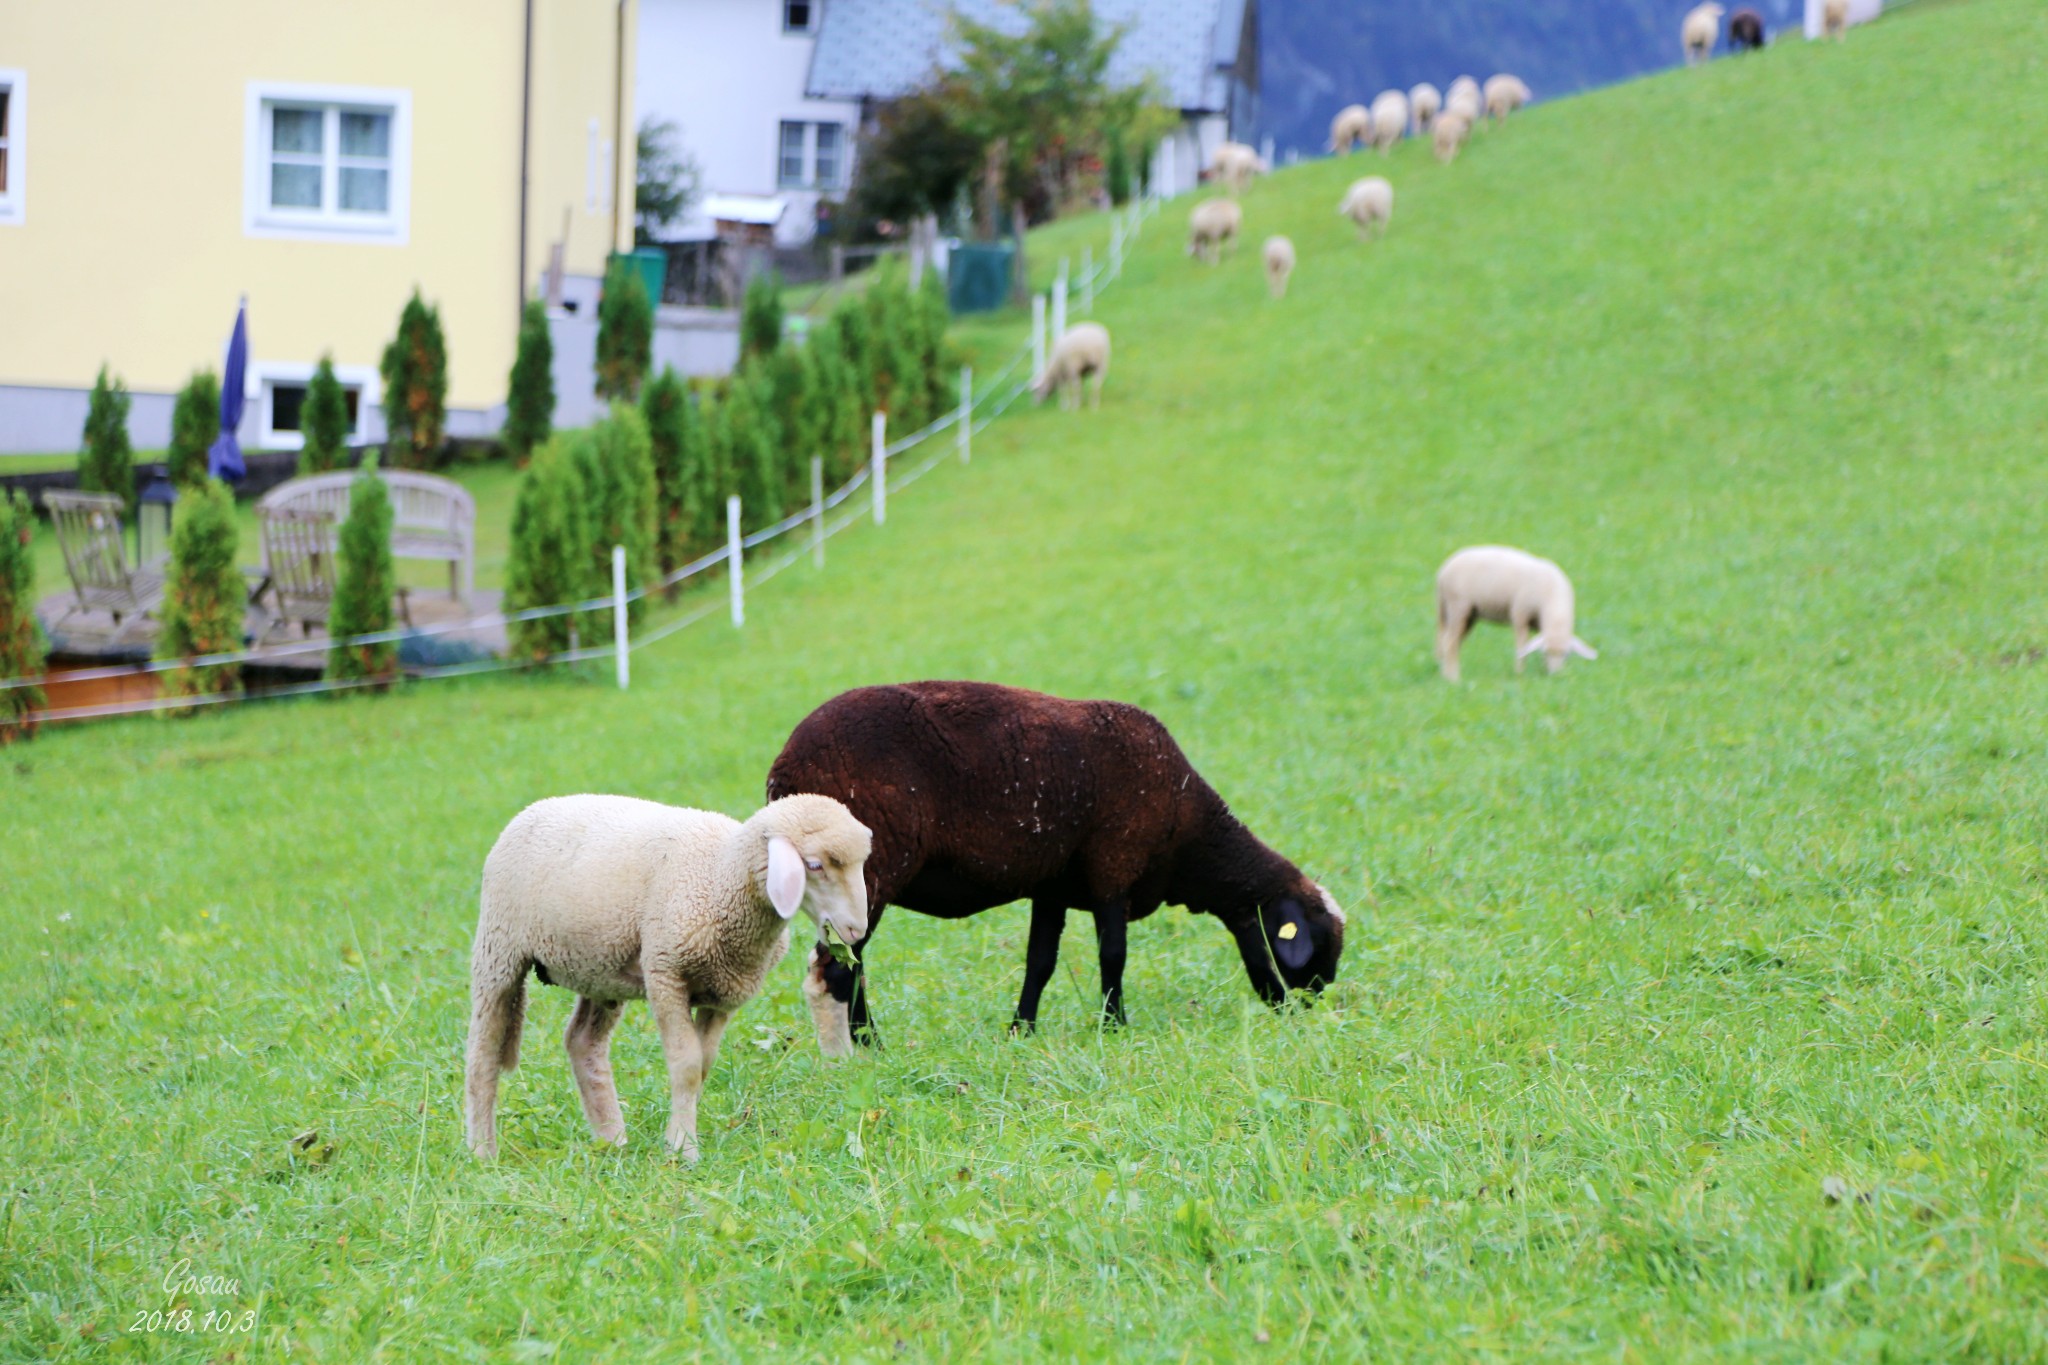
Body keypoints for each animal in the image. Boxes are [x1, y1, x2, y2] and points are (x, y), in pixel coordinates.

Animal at [464, 789, 872, 1162]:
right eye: (815, 865)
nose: (855, 930)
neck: (720, 876)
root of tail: (538, 806)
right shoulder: (665, 973)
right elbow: (687, 1064)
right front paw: (683, 1149)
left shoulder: (723, 992)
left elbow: (704, 1065)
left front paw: (679, 1135)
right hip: (500, 948)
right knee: (483, 1051)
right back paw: (482, 1150)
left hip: (601, 969)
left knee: (582, 1043)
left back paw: (611, 1139)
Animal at [765, 679, 1343, 1055]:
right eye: (1313, 945)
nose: (1304, 1009)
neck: (1187, 833)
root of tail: (784, 771)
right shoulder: (1114, 867)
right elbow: (1114, 955)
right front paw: (1114, 1026)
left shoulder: (1054, 887)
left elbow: (1039, 962)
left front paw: (1022, 1029)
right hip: (866, 874)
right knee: (840, 968)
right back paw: (869, 1048)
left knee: (845, 965)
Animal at [1433, 544, 1589, 683]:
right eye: (1546, 652)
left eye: (1566, 655)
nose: (1555, 676)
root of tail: (1443, 572)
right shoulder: (1520, 615)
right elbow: (1522, 648)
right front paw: (1520, 674)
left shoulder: (1541, 625)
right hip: (1458, 606)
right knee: (1449, 643)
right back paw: (1453, 678)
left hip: (1466, 614)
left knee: (1449, 642)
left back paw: (1444, 673)